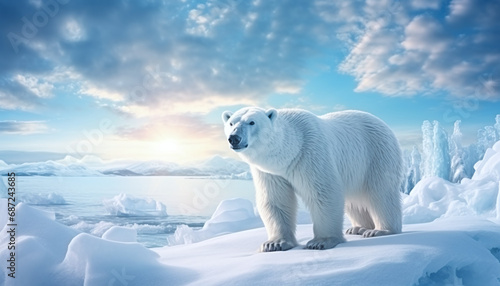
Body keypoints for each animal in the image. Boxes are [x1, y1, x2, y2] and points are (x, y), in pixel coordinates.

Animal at [223, 106, 402, 251]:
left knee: (381, 193)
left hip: (376, 154)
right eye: (231, 123)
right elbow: (276, 200)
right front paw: (274, 244)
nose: (234, 138)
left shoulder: (310, 153)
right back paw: (358, 228)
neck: (291, 150)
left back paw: (379, 230)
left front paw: (320, 242)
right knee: (354, 200)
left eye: (251, 122)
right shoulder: (271, 173)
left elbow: (322, 192)